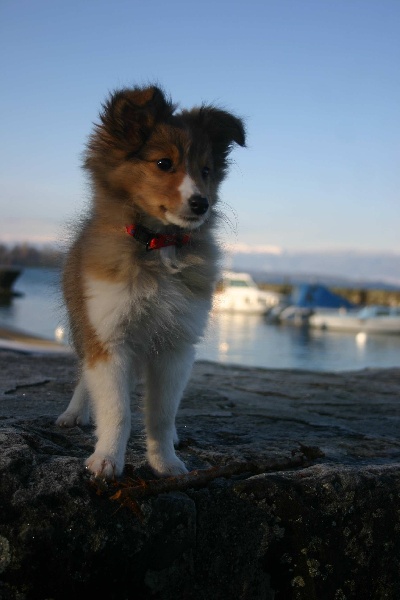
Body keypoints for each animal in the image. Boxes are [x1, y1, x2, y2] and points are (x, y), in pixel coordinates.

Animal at [55, 84, 244, 478]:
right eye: (163, 164)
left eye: (206, 170)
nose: (201, 203)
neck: (159, 245)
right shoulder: (108, 335)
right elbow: (117, 410)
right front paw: (107, 459)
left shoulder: (175, 346)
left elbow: (161, 413)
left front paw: (165, 462)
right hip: (82, 325)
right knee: (84, 375)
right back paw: (75, 412)